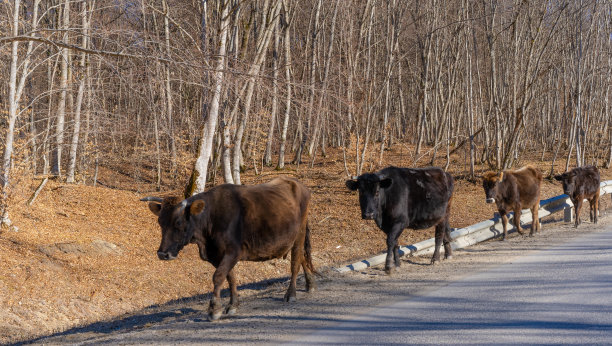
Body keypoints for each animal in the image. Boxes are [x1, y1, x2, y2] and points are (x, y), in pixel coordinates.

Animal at [142, 178, 316, 322]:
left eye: (178, 222)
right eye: (160, 222)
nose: (162, 253)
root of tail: (296, 183)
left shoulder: (233, 251)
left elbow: (218, 276)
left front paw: (214, 309)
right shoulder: (218, 255)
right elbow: (230, 277)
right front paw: (233, 305)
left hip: (299, 234)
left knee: (295, 262)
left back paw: (291, 294)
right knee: (302, 258)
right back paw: (310, 284)